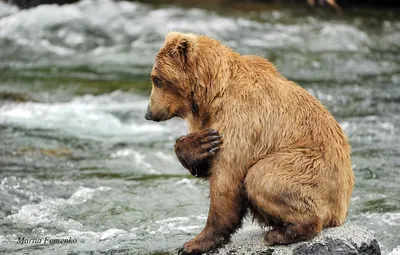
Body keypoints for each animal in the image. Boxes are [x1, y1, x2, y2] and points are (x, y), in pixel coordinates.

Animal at [145, 31, 354, 255]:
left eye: (157, 79)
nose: (149, 113)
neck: (212, 94)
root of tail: (341, 210)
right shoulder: (211, 121)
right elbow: (207, 163)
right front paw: (199, 144)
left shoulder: (242, 121)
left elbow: (226, 179)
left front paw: (194, 243)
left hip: (309, 168)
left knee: (262, 177)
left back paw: (279, 234)